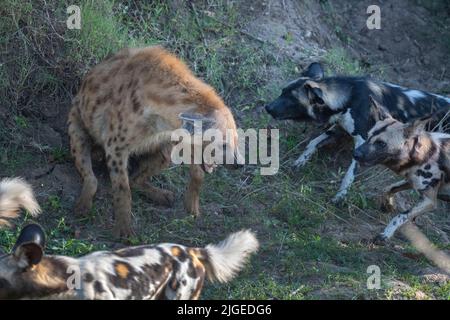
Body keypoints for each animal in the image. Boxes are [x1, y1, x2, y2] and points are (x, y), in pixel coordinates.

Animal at [68, 45, 241, 238]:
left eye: (237, 141)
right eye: (223, 144)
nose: (239, 164)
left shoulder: (175, 134)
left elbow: (197, 171)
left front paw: (192, 206)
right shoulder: (115, 146)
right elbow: (122, 188)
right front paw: (124, 230)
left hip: (165, 151)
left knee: (137, 178)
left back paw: (162, 195)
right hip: (76, 123)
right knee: (90, 172)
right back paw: (83, 205)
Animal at [264, 62, 450, 202]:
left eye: (292, 99)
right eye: (282, 92)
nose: (267, 107)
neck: (349, 97)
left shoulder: (363, 143)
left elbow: (349, 175)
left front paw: (340, 196)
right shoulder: (340, 128)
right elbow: (313, 142)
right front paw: (300, 162)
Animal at [356, 97, 450, 242]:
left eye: (381, 143)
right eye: (368, 136)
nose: (355, 154)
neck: (423, 154)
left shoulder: (429, 201)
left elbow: (401, 215)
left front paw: (386, 233)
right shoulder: (411, 182)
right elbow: (388, 188)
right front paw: (388, 205)